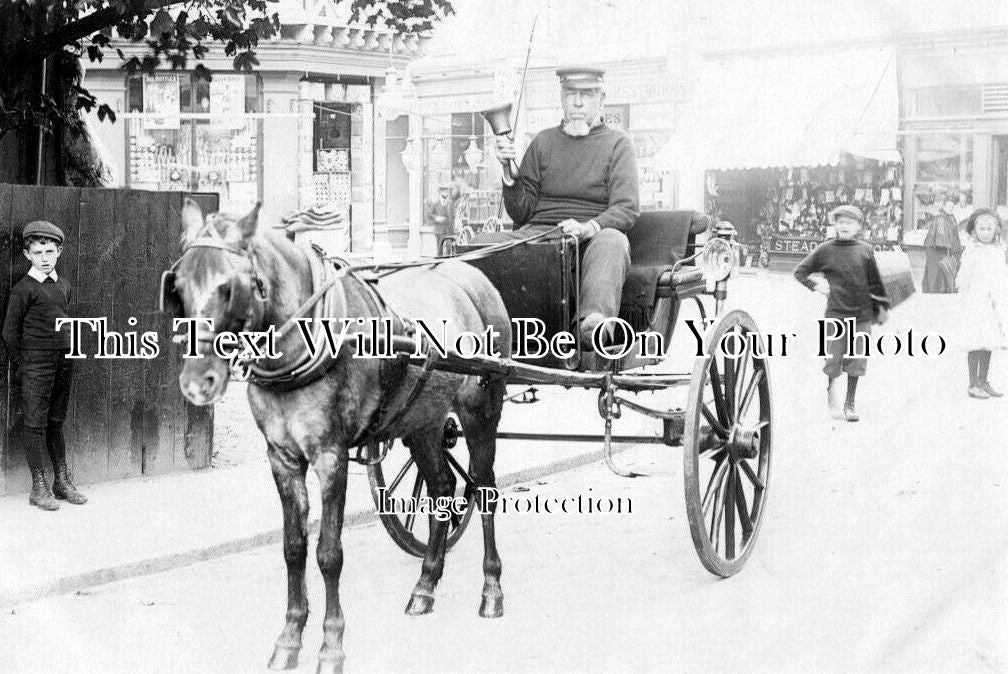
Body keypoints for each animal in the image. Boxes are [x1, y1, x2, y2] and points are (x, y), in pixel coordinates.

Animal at [167, 199, 512, 672]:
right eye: (179, 287)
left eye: (228, 288)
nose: (196, 383)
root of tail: (470, 274)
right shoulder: (281, 456)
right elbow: (294, 548)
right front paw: (289, 638)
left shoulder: (330, 456)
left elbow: (329, 554)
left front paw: (331, 646)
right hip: (422, 421)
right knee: (442, 488)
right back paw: (425, 586)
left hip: (481, 412)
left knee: (485, 490)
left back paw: (491, 590)